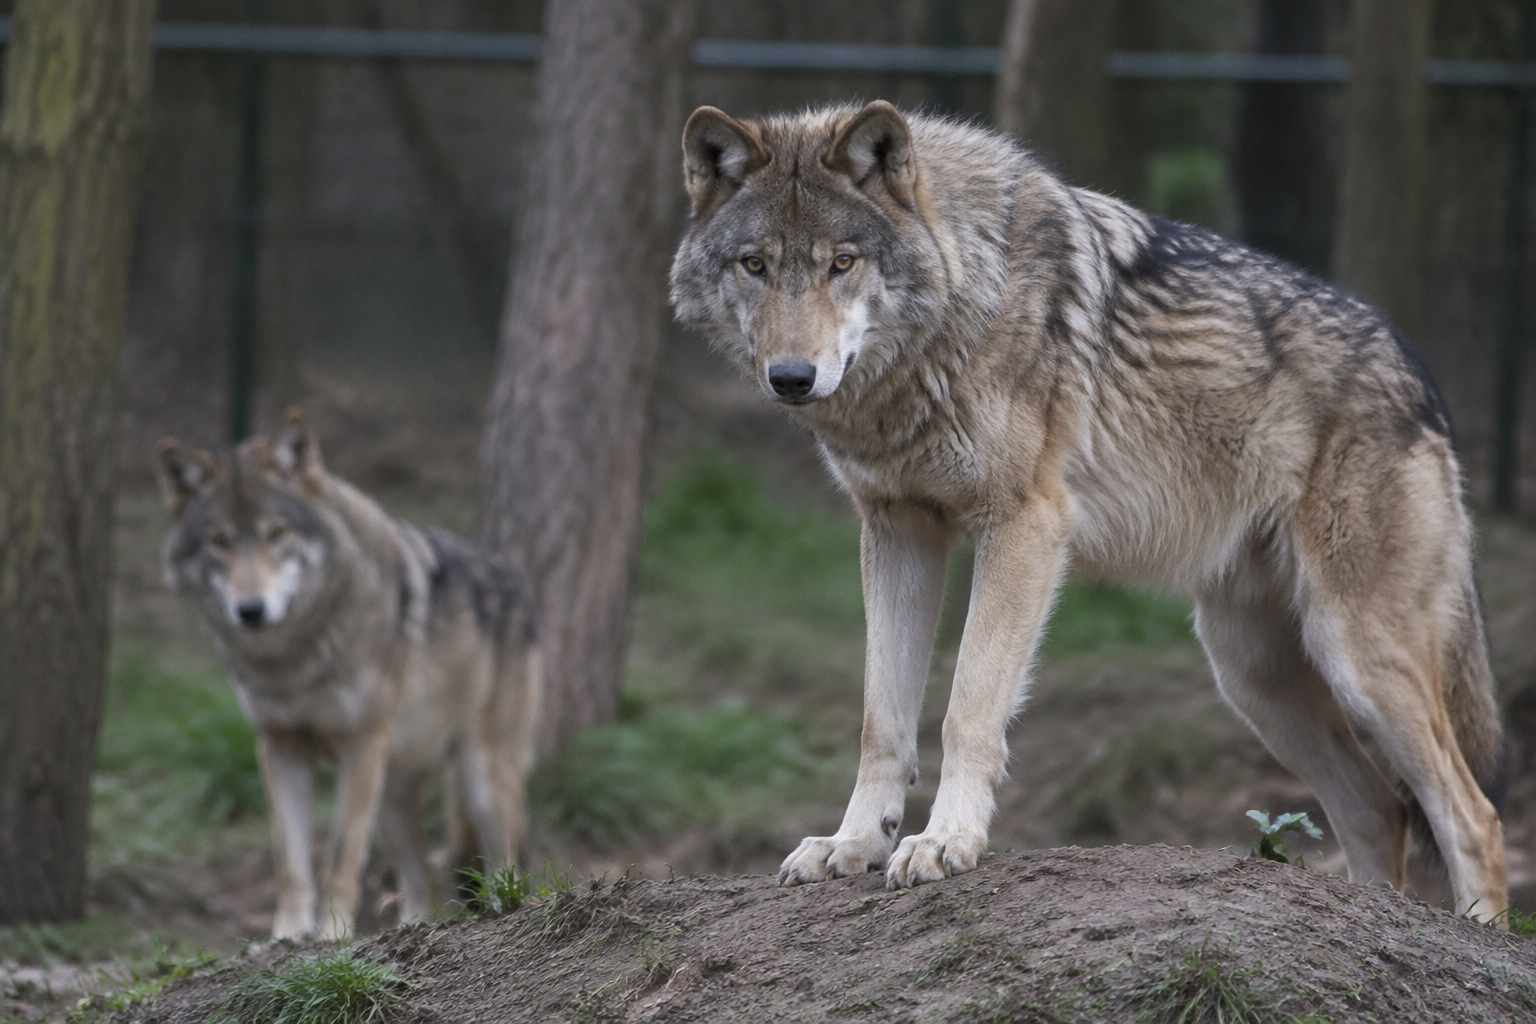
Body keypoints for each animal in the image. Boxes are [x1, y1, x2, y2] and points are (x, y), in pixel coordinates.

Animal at [156, 410, 543, 939]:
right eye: (220, 541)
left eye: (277, 533)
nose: (251, 610)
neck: (292, 658)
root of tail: (513, 577)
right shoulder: (278, 747)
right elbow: (290, 859)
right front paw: (286, 935)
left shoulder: (359, 745)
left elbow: (340, 856)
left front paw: (331, 935)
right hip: (392, 796)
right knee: (420, 882)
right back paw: (411, 928)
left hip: (480, 777)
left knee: (506, 860)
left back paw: (505, 908)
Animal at [669, 101, 1508, 920]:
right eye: (755, 265)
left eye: (841, 263)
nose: (791, 377)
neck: (961, 304)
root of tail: (1419, 374)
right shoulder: (898, 530)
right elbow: (883, 718)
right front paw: (853, 845)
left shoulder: (1023, 526)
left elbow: (967, 708)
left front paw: (947, 841)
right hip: (1253, 676)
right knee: (1379, 810)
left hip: (1356, 654)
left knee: (1474, 818)